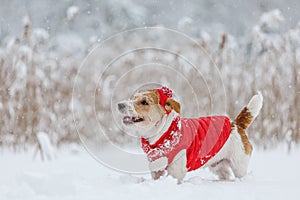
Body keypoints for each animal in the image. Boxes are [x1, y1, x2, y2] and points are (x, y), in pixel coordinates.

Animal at [117, 86, 262, 184]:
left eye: (144, 102)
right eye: (133, 98)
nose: (119, 104)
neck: (162, 134)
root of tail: (236, 124)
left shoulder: (176, 171)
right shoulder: (156, 169)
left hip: (239, 165)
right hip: (218, 165)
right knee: (225, 175)